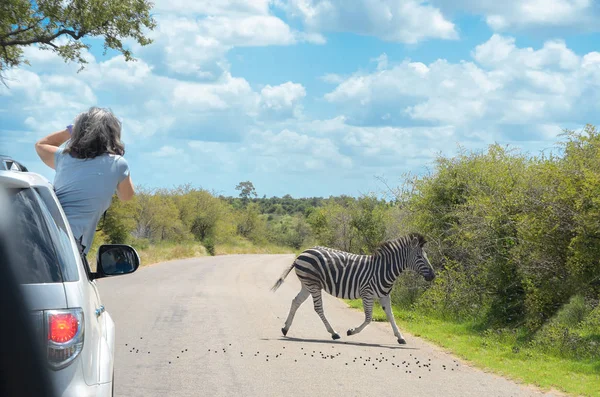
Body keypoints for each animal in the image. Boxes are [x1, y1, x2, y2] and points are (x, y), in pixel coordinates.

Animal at [272, 232, 436, 344]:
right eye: (420, 257)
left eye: (426, 255)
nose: (433, 275)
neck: (384, 270)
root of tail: (303, 253)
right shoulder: (367, 293)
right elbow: (369, 318)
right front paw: (351, 331)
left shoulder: (384, 295)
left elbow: (391, 315)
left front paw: (400, 337)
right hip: (313, 284)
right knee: (318, 308)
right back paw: (334, 333)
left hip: (307, 285)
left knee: (296, 302)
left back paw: (285, 328)